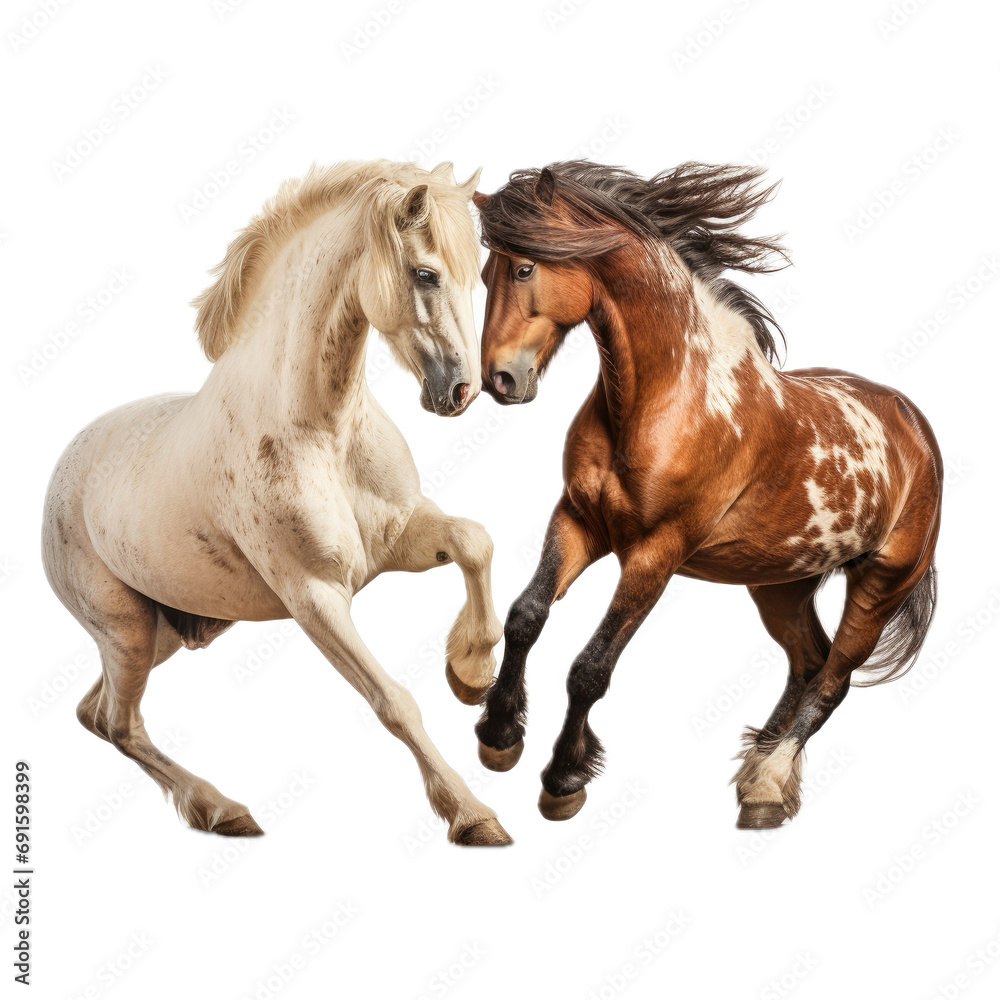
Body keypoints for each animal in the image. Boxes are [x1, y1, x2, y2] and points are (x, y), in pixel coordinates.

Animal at [41, 159, 513, 846]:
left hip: (163, 635)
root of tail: (63, 471)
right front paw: (473, 815)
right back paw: (223, 810)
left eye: (477, 276)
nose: (462, 390)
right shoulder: (314, 594)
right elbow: (394, 702)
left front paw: (471, 673)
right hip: (125, 633)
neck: (319, 428)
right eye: (425, 273)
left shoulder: (400, 539)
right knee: (118, 723)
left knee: (92, 713)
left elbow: (476, 540)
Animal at [471, 161, 941, 829]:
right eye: (487, 272)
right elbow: (525, 616)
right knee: (809, 662)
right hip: (780, 585)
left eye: (524, 268)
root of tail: (915, 428)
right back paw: (757, 774)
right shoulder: (579, 521)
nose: (500, 379)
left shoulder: (656, 554)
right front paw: (499, 736)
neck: (667, 397)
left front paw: (564, 779)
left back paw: (767, 787)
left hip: (880, 585)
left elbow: (591, 669)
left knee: (832, 683)